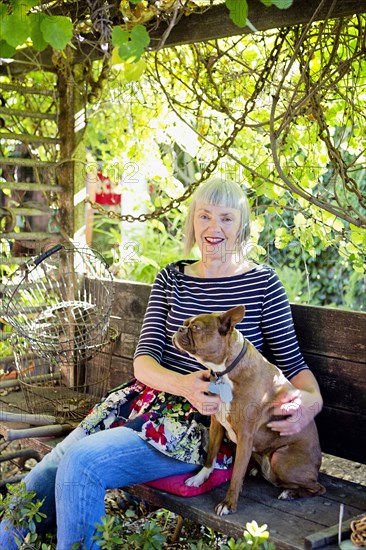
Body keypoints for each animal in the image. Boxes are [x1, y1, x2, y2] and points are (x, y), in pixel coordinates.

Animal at [172, 306, 326, 516]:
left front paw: (228, 504)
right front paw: (199, 478)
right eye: (185, 323)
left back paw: (290, 493)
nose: (180, 328)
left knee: (317, 488)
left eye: (196, 328)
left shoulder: (245, 436)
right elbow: (210, 455)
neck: (226, 371)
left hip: (280, 458)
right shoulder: (216, 424)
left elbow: (236, 474)